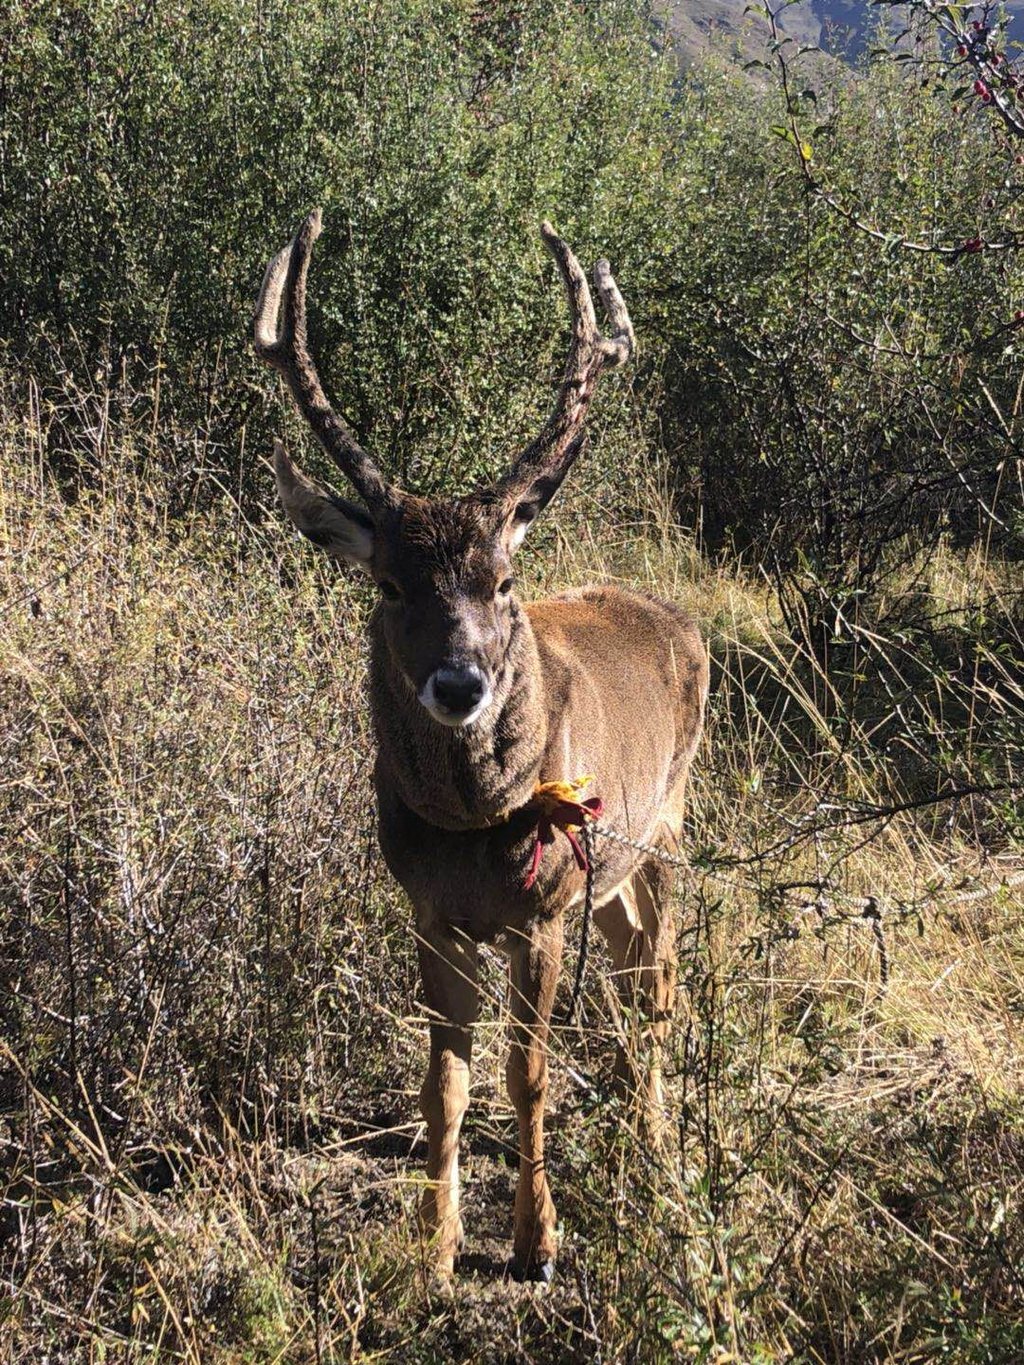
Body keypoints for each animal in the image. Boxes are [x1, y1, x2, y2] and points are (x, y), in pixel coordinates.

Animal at [252, 207, 709, 1283]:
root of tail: (684, 624)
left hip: (667, 825)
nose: (459, 684)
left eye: (502, 582)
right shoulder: (431, 912)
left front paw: (537, 1243)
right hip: (611, 869)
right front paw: (436, 1243)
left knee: (661, 985)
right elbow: (445, 1083)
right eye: (388, 583)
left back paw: (658, 1152)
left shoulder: (541, 909)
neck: (473, 824)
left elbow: (526, 1071)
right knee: (633, 981)